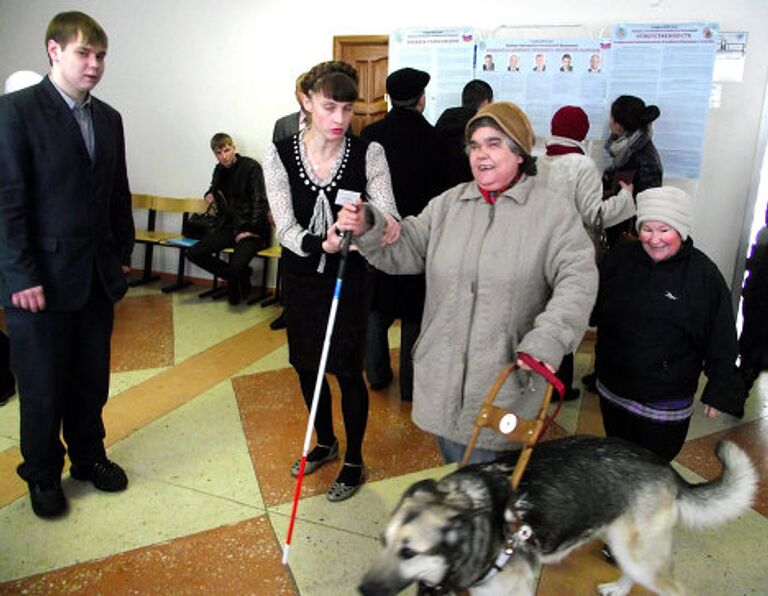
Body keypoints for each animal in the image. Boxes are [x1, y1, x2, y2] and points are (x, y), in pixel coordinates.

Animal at [360, 434, 756, 596]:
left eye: (409, 552)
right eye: (381, 542)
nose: (362, 590)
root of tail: (665, 466)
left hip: (641, 555)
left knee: (674, 588)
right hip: (622, 542)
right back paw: (619, 588)